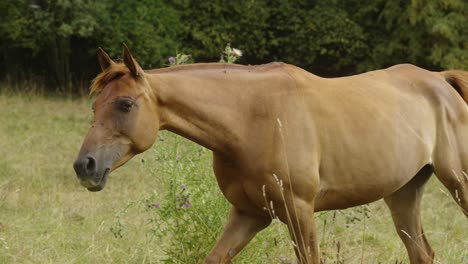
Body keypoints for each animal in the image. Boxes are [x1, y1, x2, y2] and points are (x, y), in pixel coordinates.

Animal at [74, 44, 468, 262]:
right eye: (95, 107)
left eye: (125, 104)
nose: (84, 166)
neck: (251, 119)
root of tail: (440, 80)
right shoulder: (249, 214)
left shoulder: (299, 212)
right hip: (403, 193)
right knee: (421, 253)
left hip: (458, 182)